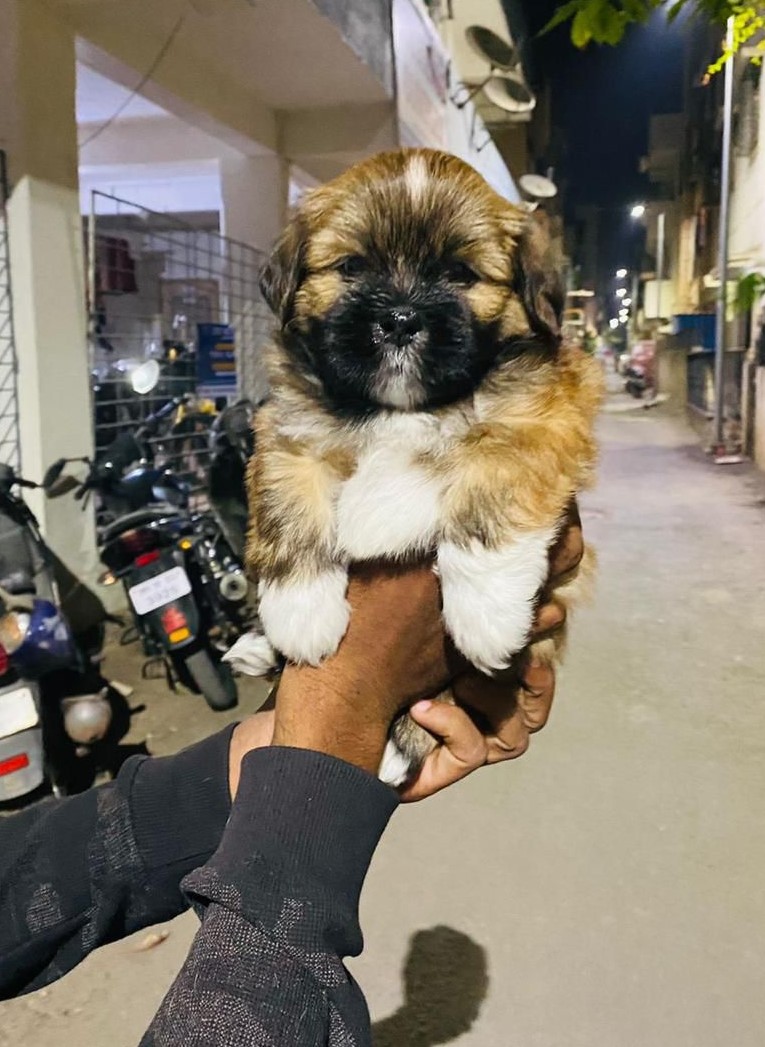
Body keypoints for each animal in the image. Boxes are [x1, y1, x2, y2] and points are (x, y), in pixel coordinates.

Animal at [226, 149, 602, 787]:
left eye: (460, 275)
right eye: (352, 268)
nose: (401, 318)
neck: (401, 408)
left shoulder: (540, 421)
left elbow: (486, 492)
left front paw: (486, 612)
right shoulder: (288, 436)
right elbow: (288, 509)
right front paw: (300, 612)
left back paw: (400, 742)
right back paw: (261, 648)